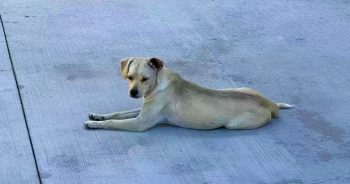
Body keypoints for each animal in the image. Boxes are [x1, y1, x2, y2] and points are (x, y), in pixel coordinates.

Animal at [85, 57, 292, 131]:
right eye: (129, 77)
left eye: (145, 79)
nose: (133, 93)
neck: (158, 84)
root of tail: (270, 104)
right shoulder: (142, 110)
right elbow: (118, 113)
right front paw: (98, 116)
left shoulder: (140, 123)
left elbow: (114, 122)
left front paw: (95, 124)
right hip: (240, 88)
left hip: (233, 125)